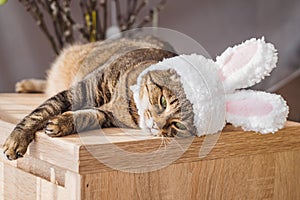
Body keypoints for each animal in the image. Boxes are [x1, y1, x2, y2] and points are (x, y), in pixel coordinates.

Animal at [3, 36, 196, 161]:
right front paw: (17, 139)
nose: (158, 125)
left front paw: (62, 123)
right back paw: (26, 85)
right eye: (163, 101)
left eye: (178, 125)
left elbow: (88, 117)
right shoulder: (81, 90)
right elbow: (41, 111)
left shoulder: (107, 116)